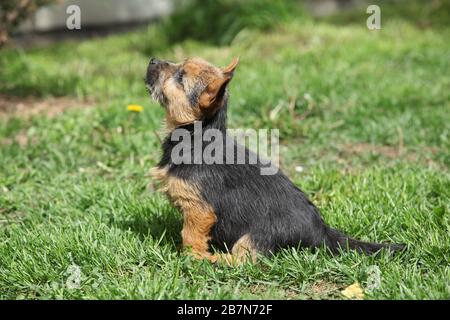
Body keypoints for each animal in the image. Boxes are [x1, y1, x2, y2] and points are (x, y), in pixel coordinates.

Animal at [145, 57, 404, 262]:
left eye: (180, 77)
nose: (152, 60)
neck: (196, 137)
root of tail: (321, 231)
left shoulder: (199, 209)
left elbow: (191, 237)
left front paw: (192, 258)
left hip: (255, 236)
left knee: (245, 259)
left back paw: (216, 260)